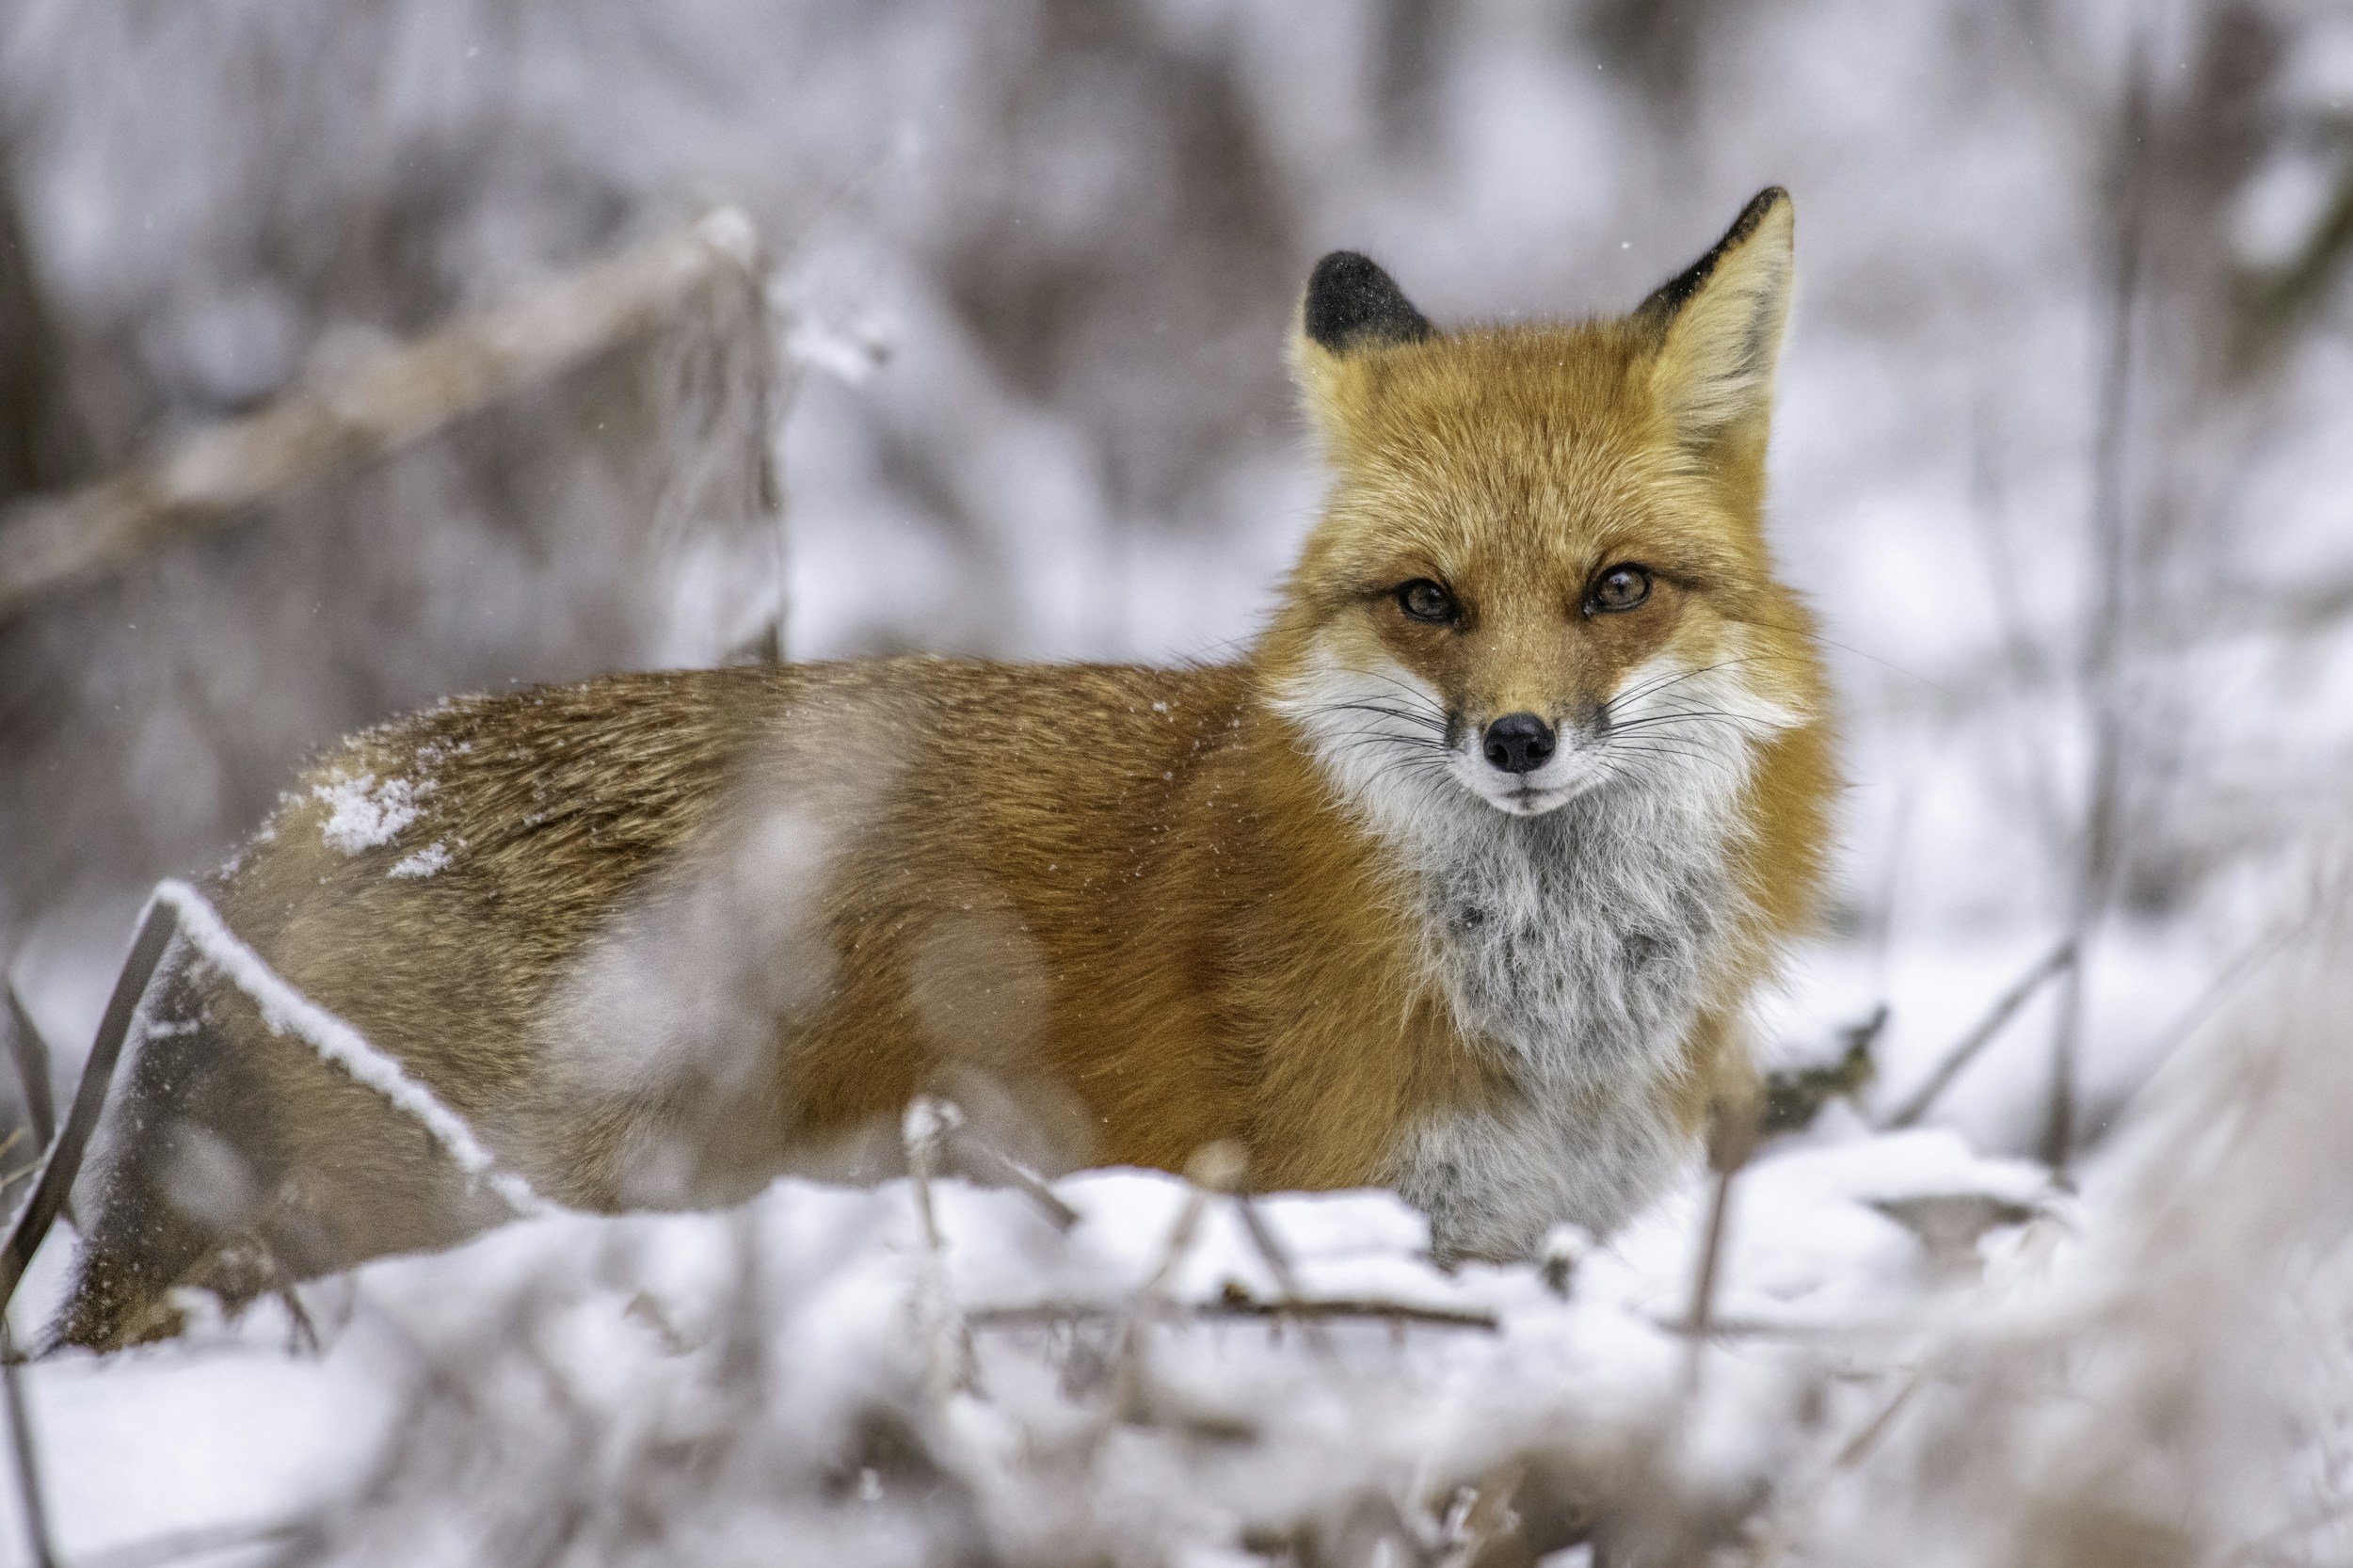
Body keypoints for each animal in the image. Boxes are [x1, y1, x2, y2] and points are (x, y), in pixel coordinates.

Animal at [57, 188, 1832, 1349]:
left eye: (1618, 589)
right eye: (1427, 603)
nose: (1520, 740)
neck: (1542, 1004)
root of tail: (272, 835)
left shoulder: (1510, 1241)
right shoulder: (1331, 1232)